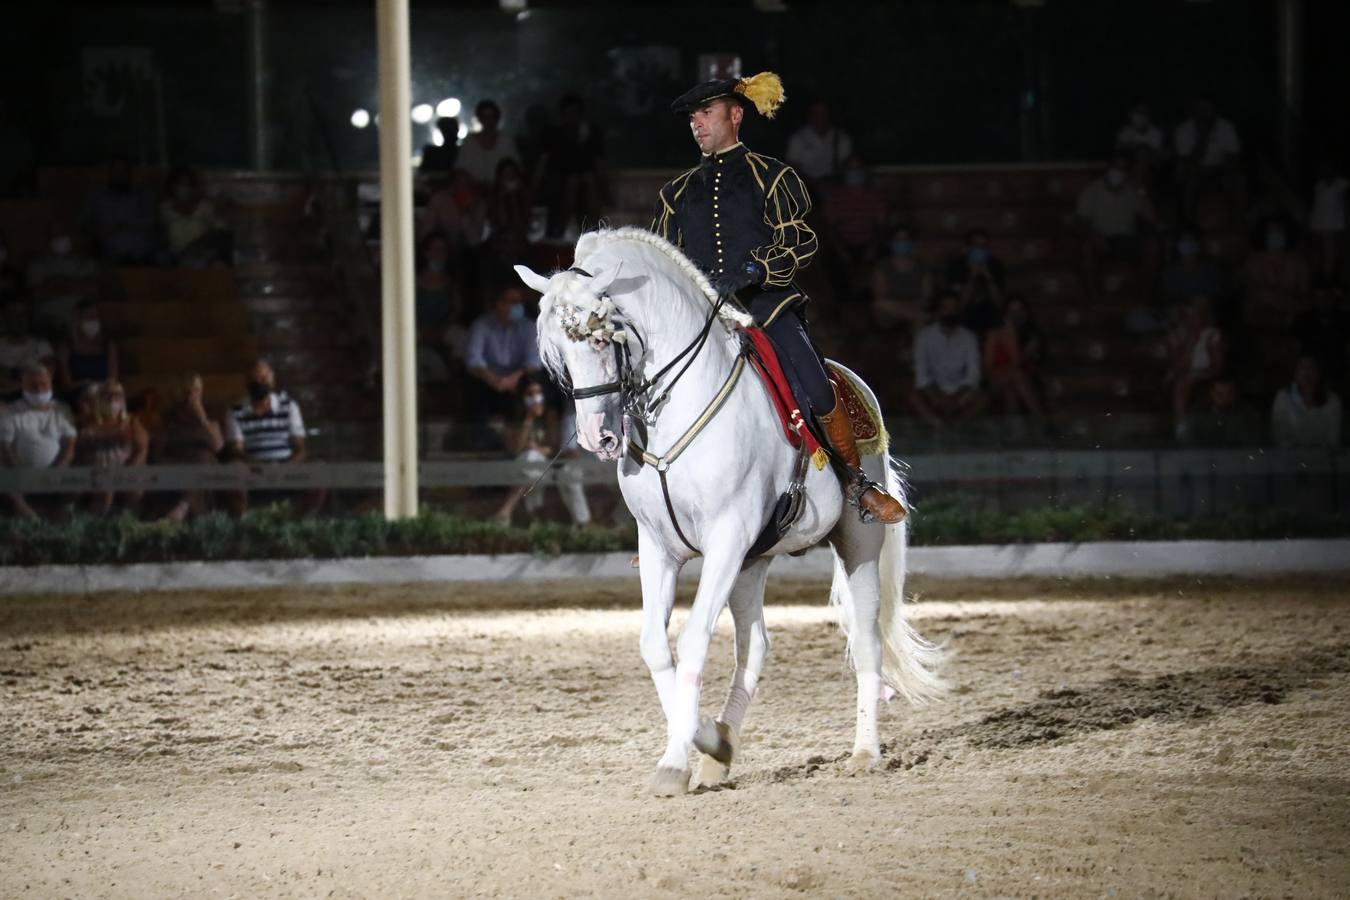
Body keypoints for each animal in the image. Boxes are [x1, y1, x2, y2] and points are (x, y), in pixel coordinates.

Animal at [515, 229, 950, 798]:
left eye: (602, 338)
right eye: (557, 352)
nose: (597, 437)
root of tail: (851, 381)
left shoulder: (726, 538)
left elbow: (693, 641)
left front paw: (676, 759)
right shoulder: (660, 547)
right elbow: (656, 646)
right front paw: (703, 741)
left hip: (857, 541)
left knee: (866, 639)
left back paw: (864, 752)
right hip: (753, 561)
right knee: (755, 646)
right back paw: (720, 750)